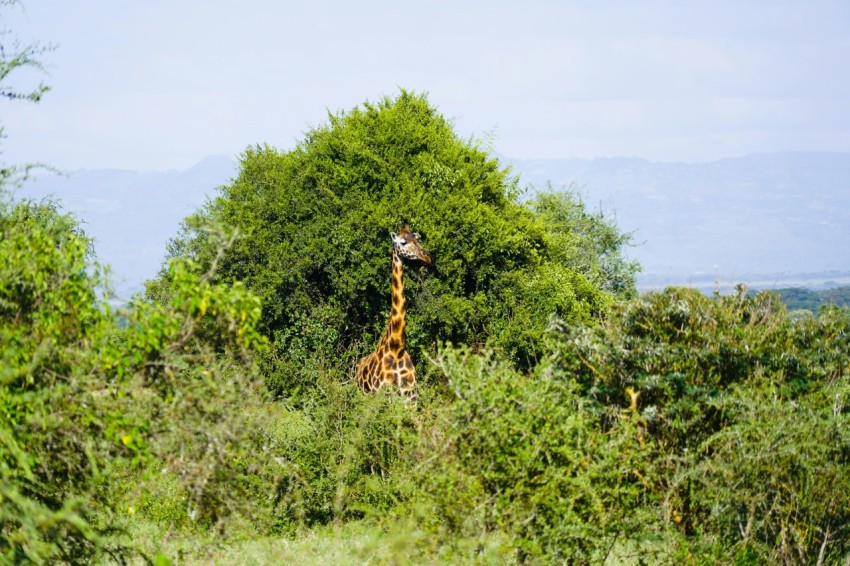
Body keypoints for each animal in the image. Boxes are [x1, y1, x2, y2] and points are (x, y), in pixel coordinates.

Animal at [354, 224, 430, 402]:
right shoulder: (382, 397)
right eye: (403, 242)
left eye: (417, 239)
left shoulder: (410, 399)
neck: (397, 349)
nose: (426, 257)